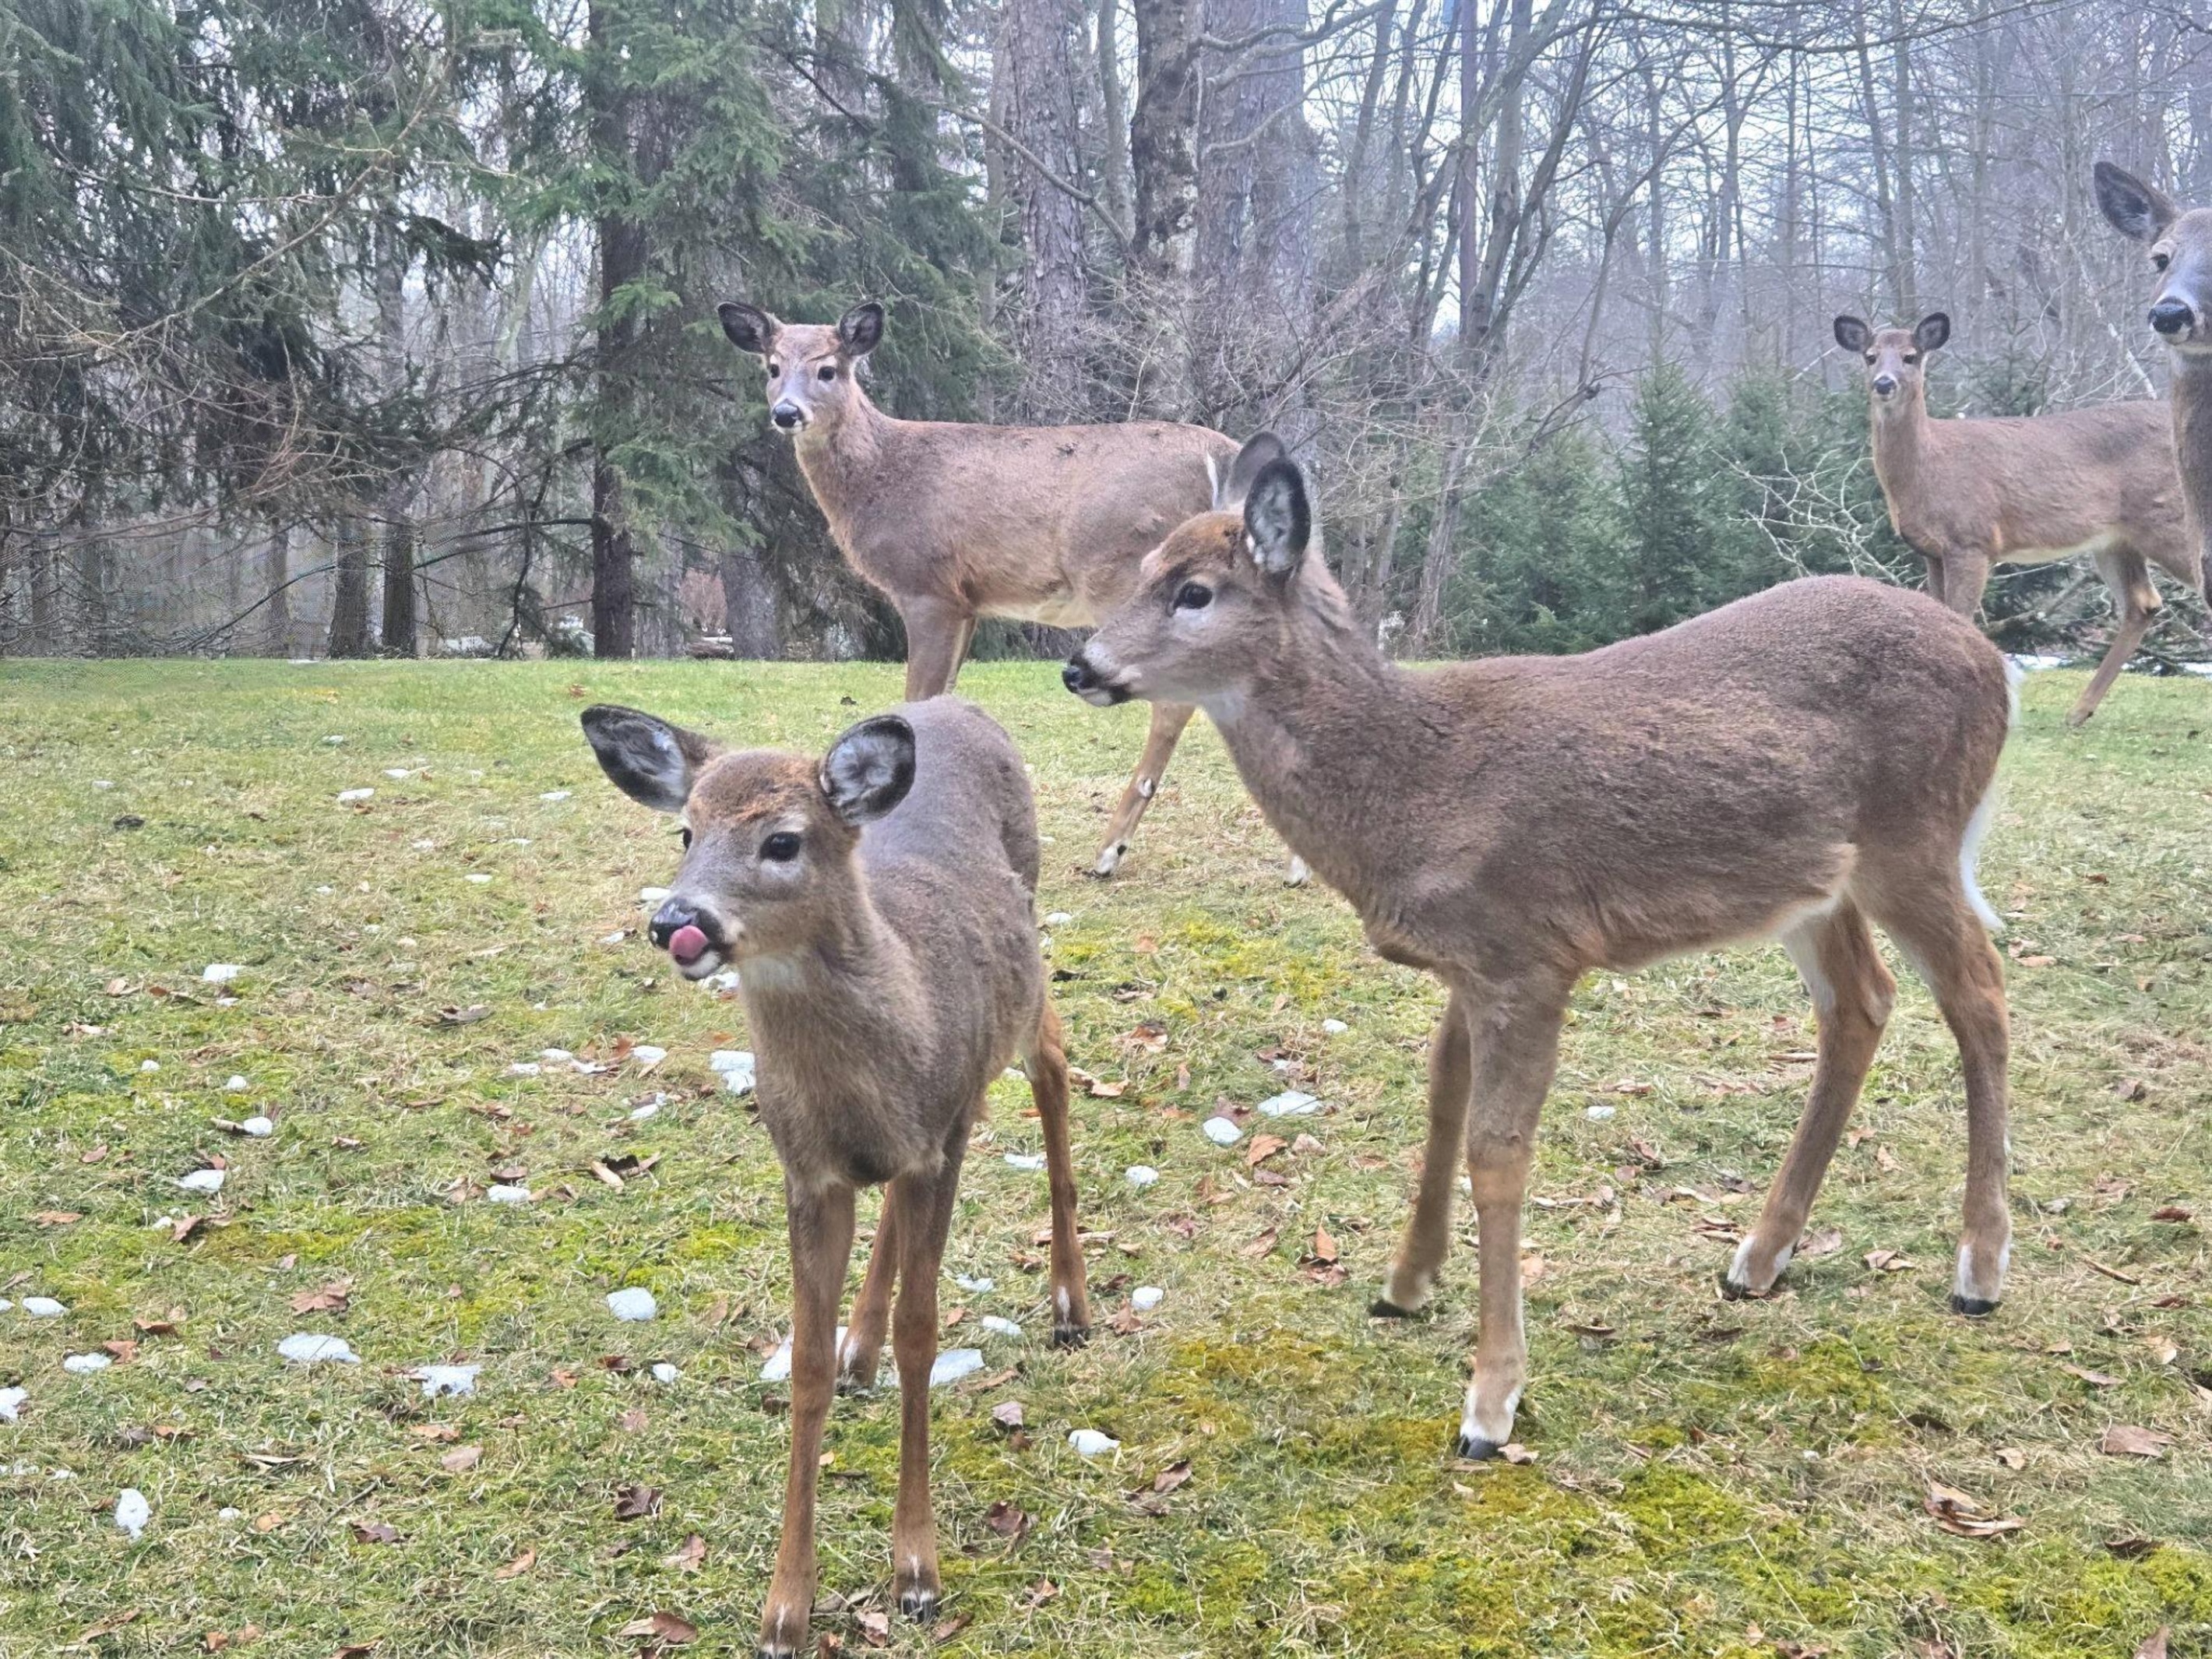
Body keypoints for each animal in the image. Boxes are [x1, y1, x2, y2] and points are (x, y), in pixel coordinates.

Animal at [581, 696, 1090, 1658]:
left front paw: (917, 1570)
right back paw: (862, 1348)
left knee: (1053, 1070)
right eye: (685, 830)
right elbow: (806, 1363)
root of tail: (957, 703)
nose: (675, 922)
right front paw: (785, 1608)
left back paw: (1070, 1304)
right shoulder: (808, 1171)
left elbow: (924, 1334)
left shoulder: (939, 1143)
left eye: (782, 840)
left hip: (1026, 982)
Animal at [717, 297, 1307, 884]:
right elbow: (946, 699)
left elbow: (917, 700)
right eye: (772, 367)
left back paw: (1110, 851)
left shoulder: (927, 587)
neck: (880, 479)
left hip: (1127, 575)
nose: (787, 413)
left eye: (828, 369)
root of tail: (1225, 458)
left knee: (1174, 704)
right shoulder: (969, 603)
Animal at [1062, 436, 2017, 1460]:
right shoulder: (1465, 962)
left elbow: (1496, 1151)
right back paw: (1758, 1258)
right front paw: (1404, 1284)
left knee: (1980, 996)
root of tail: (1995, 665)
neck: (1414, 785)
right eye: (1144, 565)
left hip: (1913, 838)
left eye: (1193, 591)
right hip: (1810, 885)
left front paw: (1489, 1401)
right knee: (1860, 1003)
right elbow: (1440, 1099)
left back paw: (1977, 1270)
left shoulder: (1527, 956)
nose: (1078, 665)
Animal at [1833, 310, 2199, 727]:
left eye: (1911, 356)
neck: (1929, 468)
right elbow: (1941, 615)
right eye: (1870, 356)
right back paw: (2079, 711)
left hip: (2168, 519)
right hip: (2115, 541)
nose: (1884, 383)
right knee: (2143, 603)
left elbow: (1961, 616)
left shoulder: (1972, 540)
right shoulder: (1931, 551)